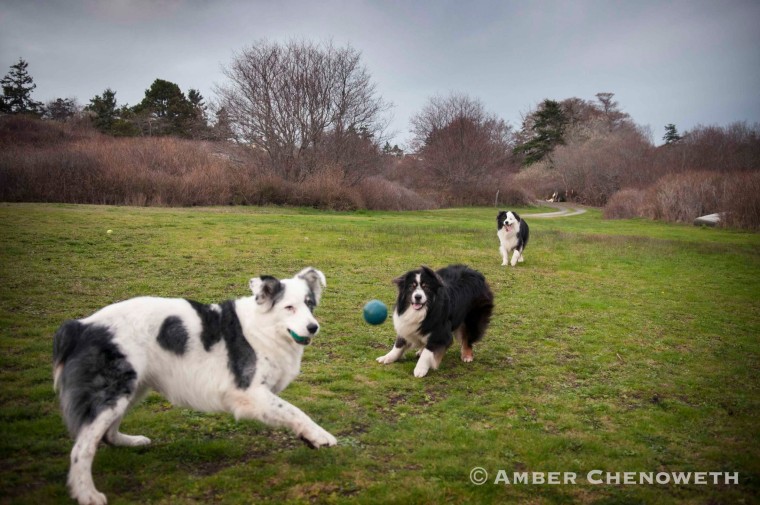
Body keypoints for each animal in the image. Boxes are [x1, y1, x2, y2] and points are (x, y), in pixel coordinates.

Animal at [52, 268, 336, 504]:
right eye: (289, 307)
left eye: (310, 305)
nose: (313, 327)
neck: (263, 329)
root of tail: (80, 326)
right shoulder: (249, 392)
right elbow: (294, 411)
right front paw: (321, 436)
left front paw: (310, 438)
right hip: (113, 391)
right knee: (82, 448)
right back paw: (87, 494)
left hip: (133, 387)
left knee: (108, 434)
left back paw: (130, 442)